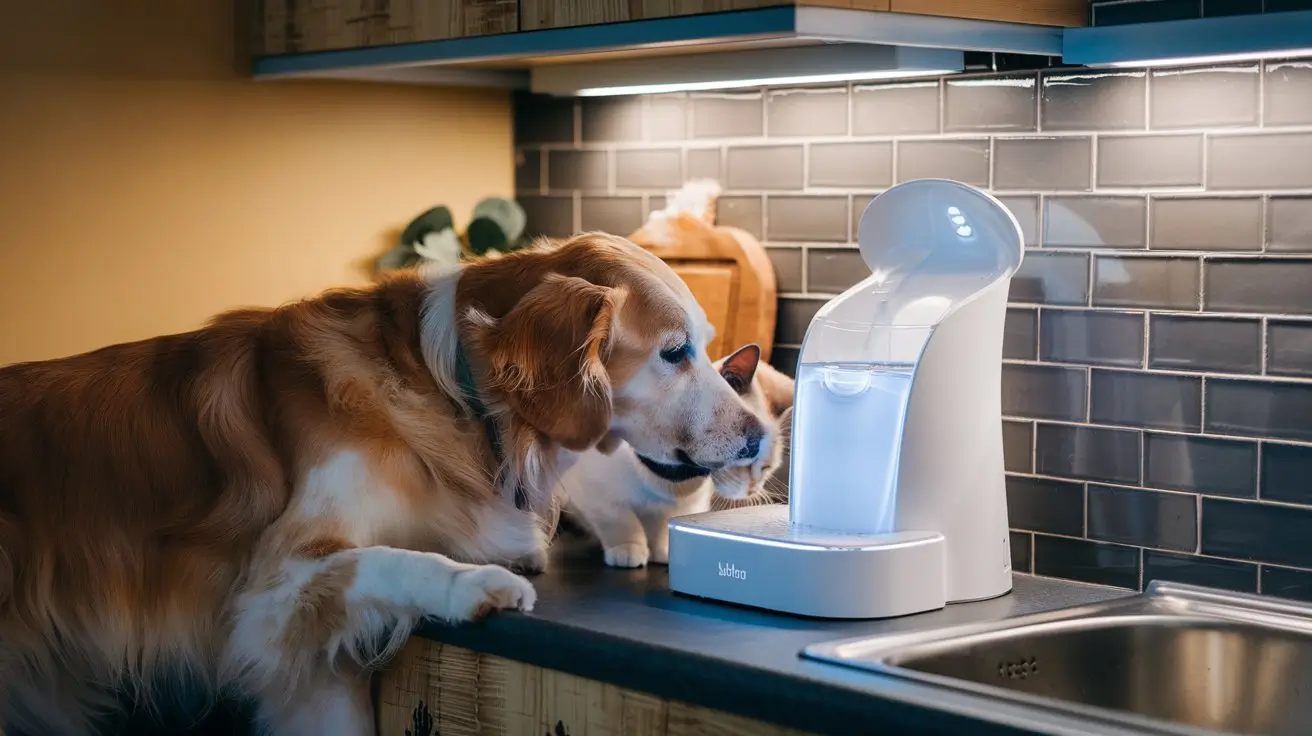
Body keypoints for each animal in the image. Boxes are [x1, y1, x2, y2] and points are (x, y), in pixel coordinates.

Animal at [553, 343, 787, 569]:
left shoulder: (681, 507)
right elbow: (620, 521)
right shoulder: (594, 493)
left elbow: (664, 528)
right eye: (749, 451)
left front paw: (664, 552)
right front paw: (627, 549)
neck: (673, 477)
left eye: (767, 468)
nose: (753, 488)